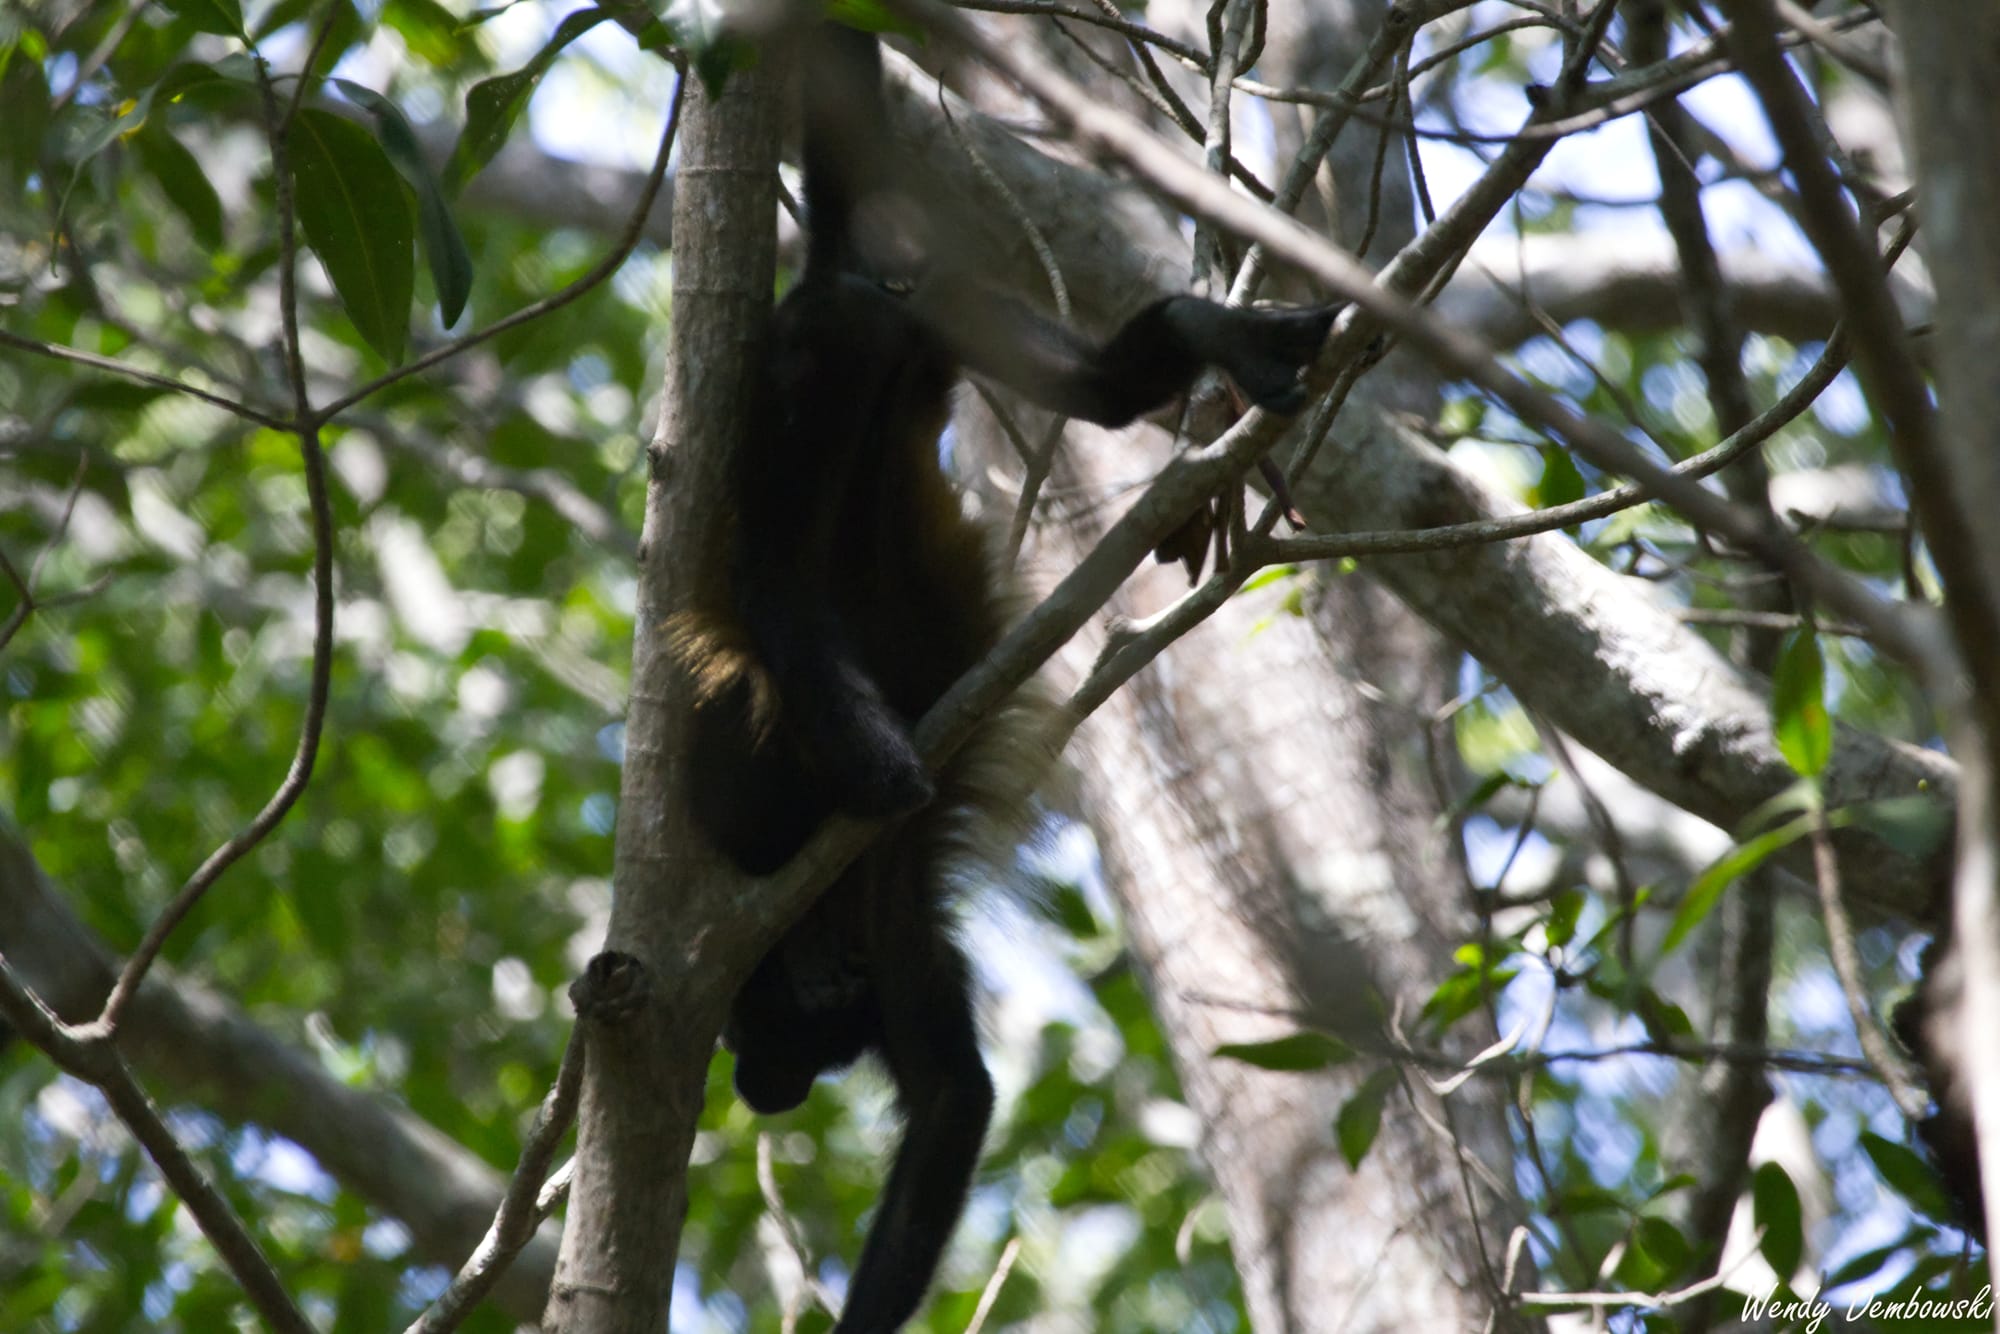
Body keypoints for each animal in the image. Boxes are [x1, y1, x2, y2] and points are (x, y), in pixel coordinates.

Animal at [680, 23, 1336, 1334]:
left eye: (772, 1046)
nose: (756, 1085)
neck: (825, 917)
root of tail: (834, 294)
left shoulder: (892, 933)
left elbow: (951, 1103)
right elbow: (954, 1101)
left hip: (824, 361)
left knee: (778, 572)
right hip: (892, 339)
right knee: (1061, 380)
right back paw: (1197, 339)